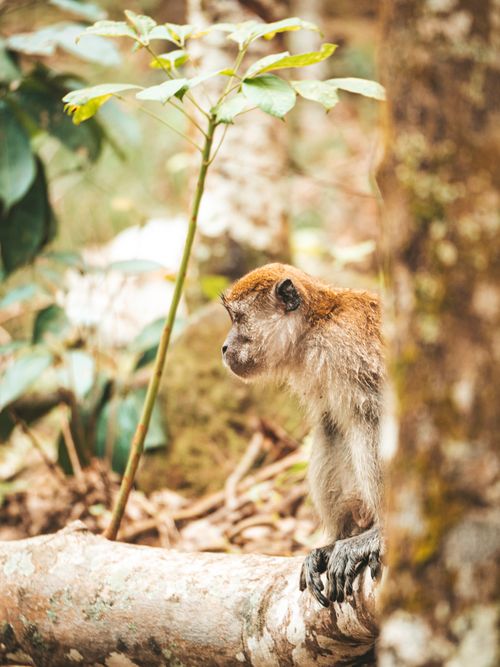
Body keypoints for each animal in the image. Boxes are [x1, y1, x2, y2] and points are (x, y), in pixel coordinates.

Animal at [221, 263, 383, 606]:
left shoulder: (346, 349)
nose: (224, 347)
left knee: (366, 418)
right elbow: (329, 423)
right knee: (331, 428)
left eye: (237, 318)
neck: (314, 327)